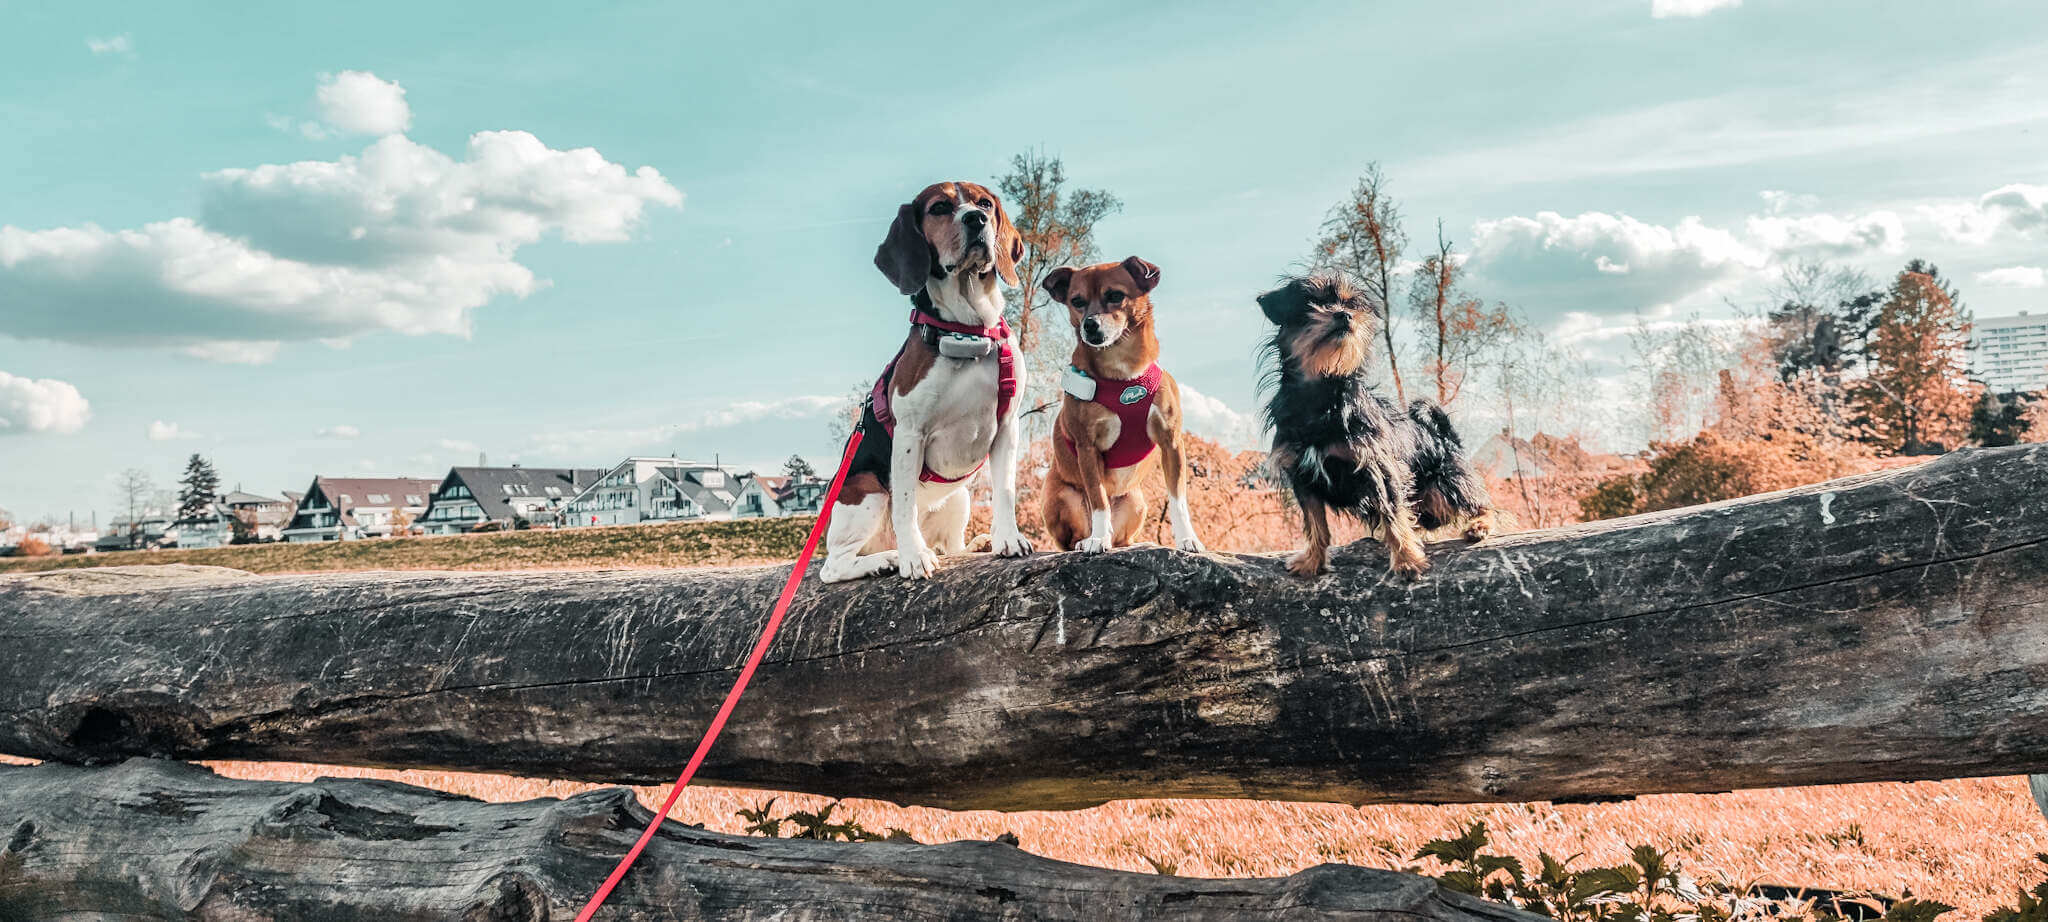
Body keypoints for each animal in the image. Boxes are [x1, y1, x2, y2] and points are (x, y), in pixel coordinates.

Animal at [1040, 256, 1196, 549]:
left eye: (1115, 296)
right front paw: (1097, 538)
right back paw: (1088, 540)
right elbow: (1099, 500)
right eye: (1077, 301)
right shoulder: (1088, 449)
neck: (1123, 370)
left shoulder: (1171, 442)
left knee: (1123, 538)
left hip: (1136, 501)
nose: (1090, 324)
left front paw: (1187, 539)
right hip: (1064, 497)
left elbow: (1178, 500)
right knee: (1076, 535)